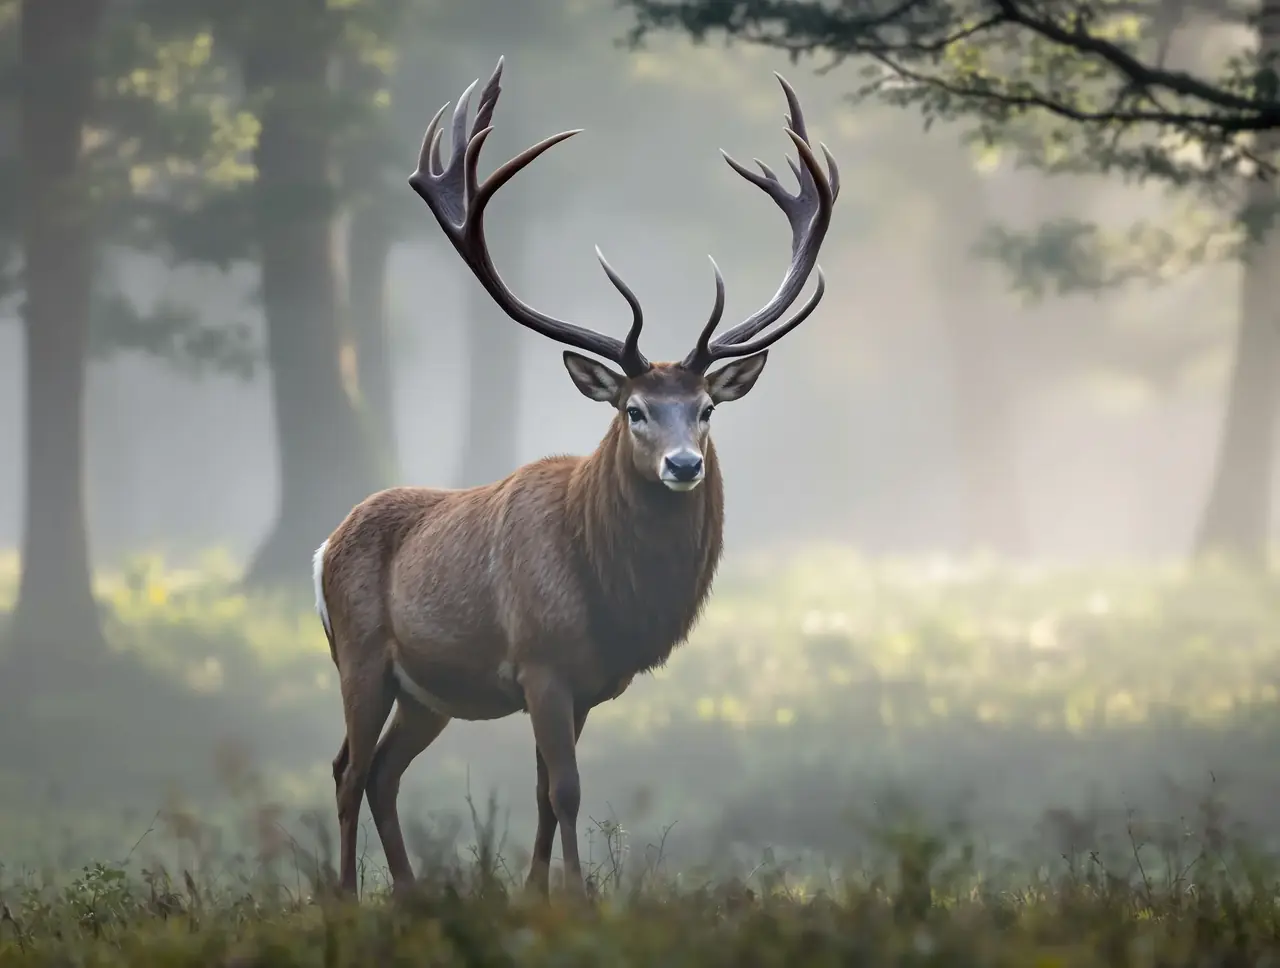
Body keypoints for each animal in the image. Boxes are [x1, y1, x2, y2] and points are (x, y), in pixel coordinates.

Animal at [313, 56, 838, 899]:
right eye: (633, 409)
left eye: (705, 409)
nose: (684, 464)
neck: (607, 594)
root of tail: (325, 545)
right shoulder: (542, 660)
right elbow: (565, 789)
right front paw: (581, 898)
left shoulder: (586, 683)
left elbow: (540, 792)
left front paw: (537, 894)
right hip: (359, 657)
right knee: (348, 770)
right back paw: (346, 898)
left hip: (428, 691)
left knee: (386, 774)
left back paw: (410, 893)